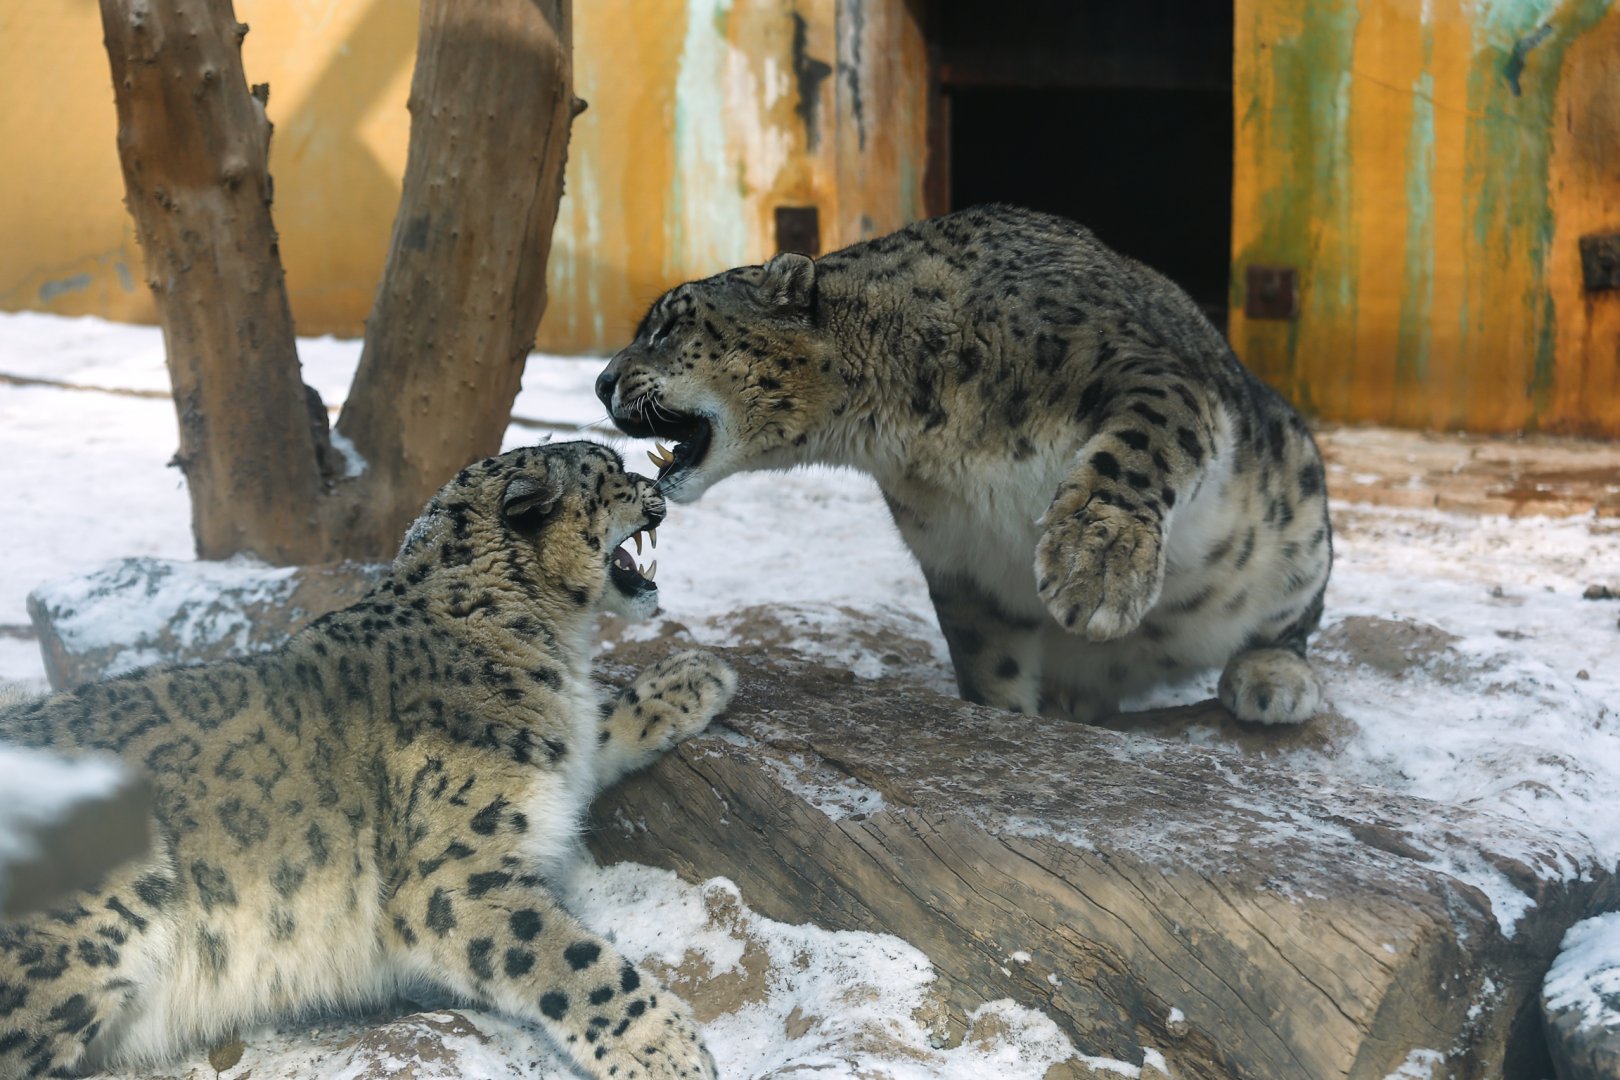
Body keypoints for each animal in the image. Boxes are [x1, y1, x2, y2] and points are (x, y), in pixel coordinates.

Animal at [0, 441, 733, 1080]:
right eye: (611, 470)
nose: (658, 485)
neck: (552, 653)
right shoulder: (454, 882)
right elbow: (573, 962)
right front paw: (669, 1048)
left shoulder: (564, 749)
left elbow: (599, 731)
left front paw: (692, 678)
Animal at [595, 204, 1331, 726]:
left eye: (666, 326)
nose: (601, 383)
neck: (917, 433)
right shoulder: (959, 557)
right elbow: (990, 660)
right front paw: (1010, 715)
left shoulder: (1133, 366)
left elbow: (1139, 445)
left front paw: (1095, 572)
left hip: (1298, 513)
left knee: (1293, 620)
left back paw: (1270, 680)